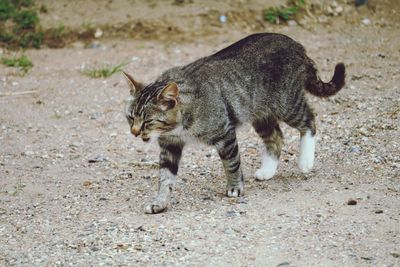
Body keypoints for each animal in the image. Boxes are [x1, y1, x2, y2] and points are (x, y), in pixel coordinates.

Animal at [122, 32, 344, 215]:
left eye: (148, 121)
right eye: (131, 118)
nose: (134, 132)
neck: (179, 128)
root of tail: (297, 46)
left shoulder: (224, 133)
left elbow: (231, 163)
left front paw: (236, 187)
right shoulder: (170, 145)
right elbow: (165, 177)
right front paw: (160, 202)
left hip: (287, 104)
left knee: (310, 120)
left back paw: (305, 161)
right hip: (260, 114)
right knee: (275, 137)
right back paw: (268, 171)